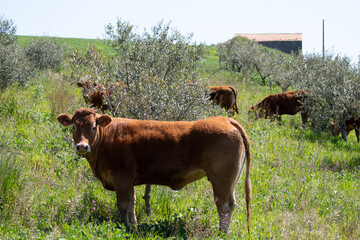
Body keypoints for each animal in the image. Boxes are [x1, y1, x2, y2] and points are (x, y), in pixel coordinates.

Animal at [57, 108, 252, 233]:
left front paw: (126, 228)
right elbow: (132, 203)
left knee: (224, 206)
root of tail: (225, 120)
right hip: (229, 182)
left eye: (93, 126)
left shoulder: (121, 179)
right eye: (74, 126)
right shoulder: (129, 182)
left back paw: (222, 233)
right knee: (230, 205)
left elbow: (123, 205)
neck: (108, 137)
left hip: (221, 180)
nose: (82, 146)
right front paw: (134, 226)